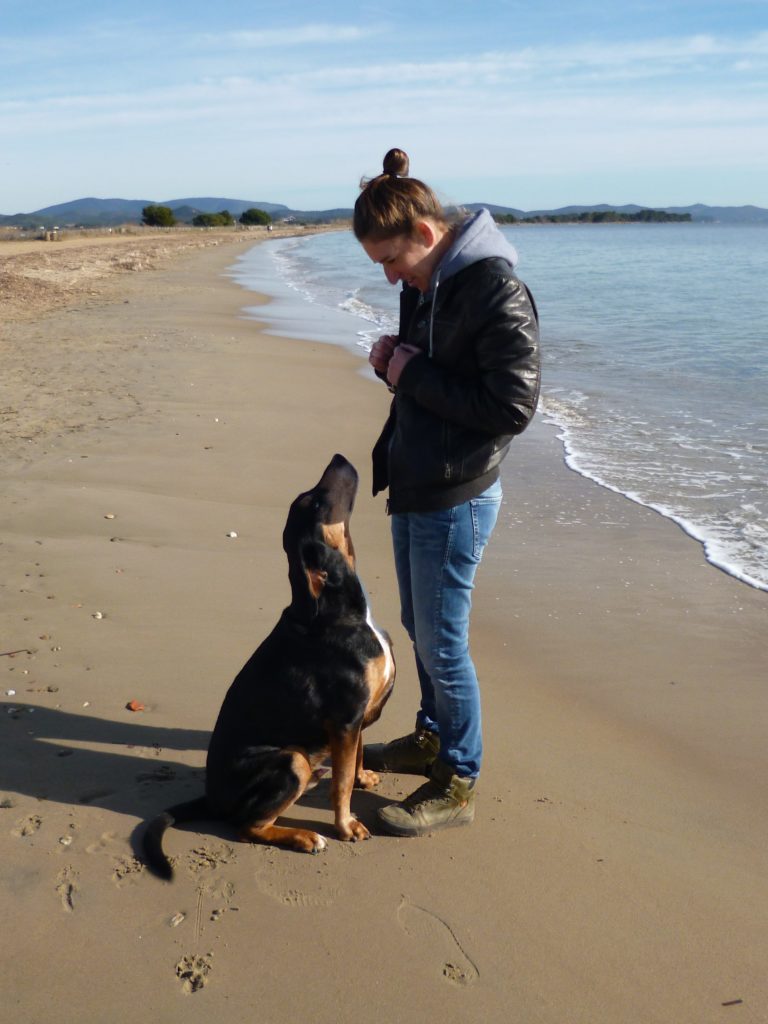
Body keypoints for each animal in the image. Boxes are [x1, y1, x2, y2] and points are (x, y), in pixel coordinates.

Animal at [143, 456, 397, 880]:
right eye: (315, 504)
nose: (338, 457)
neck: (338, 609)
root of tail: (212, 798)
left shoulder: (355, 720)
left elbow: (356, 759)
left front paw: (363, 777)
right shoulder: (345, 718)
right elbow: (342, 783)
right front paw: (346, 826)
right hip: (291, 759)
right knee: (247, 827)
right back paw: (304, 837)